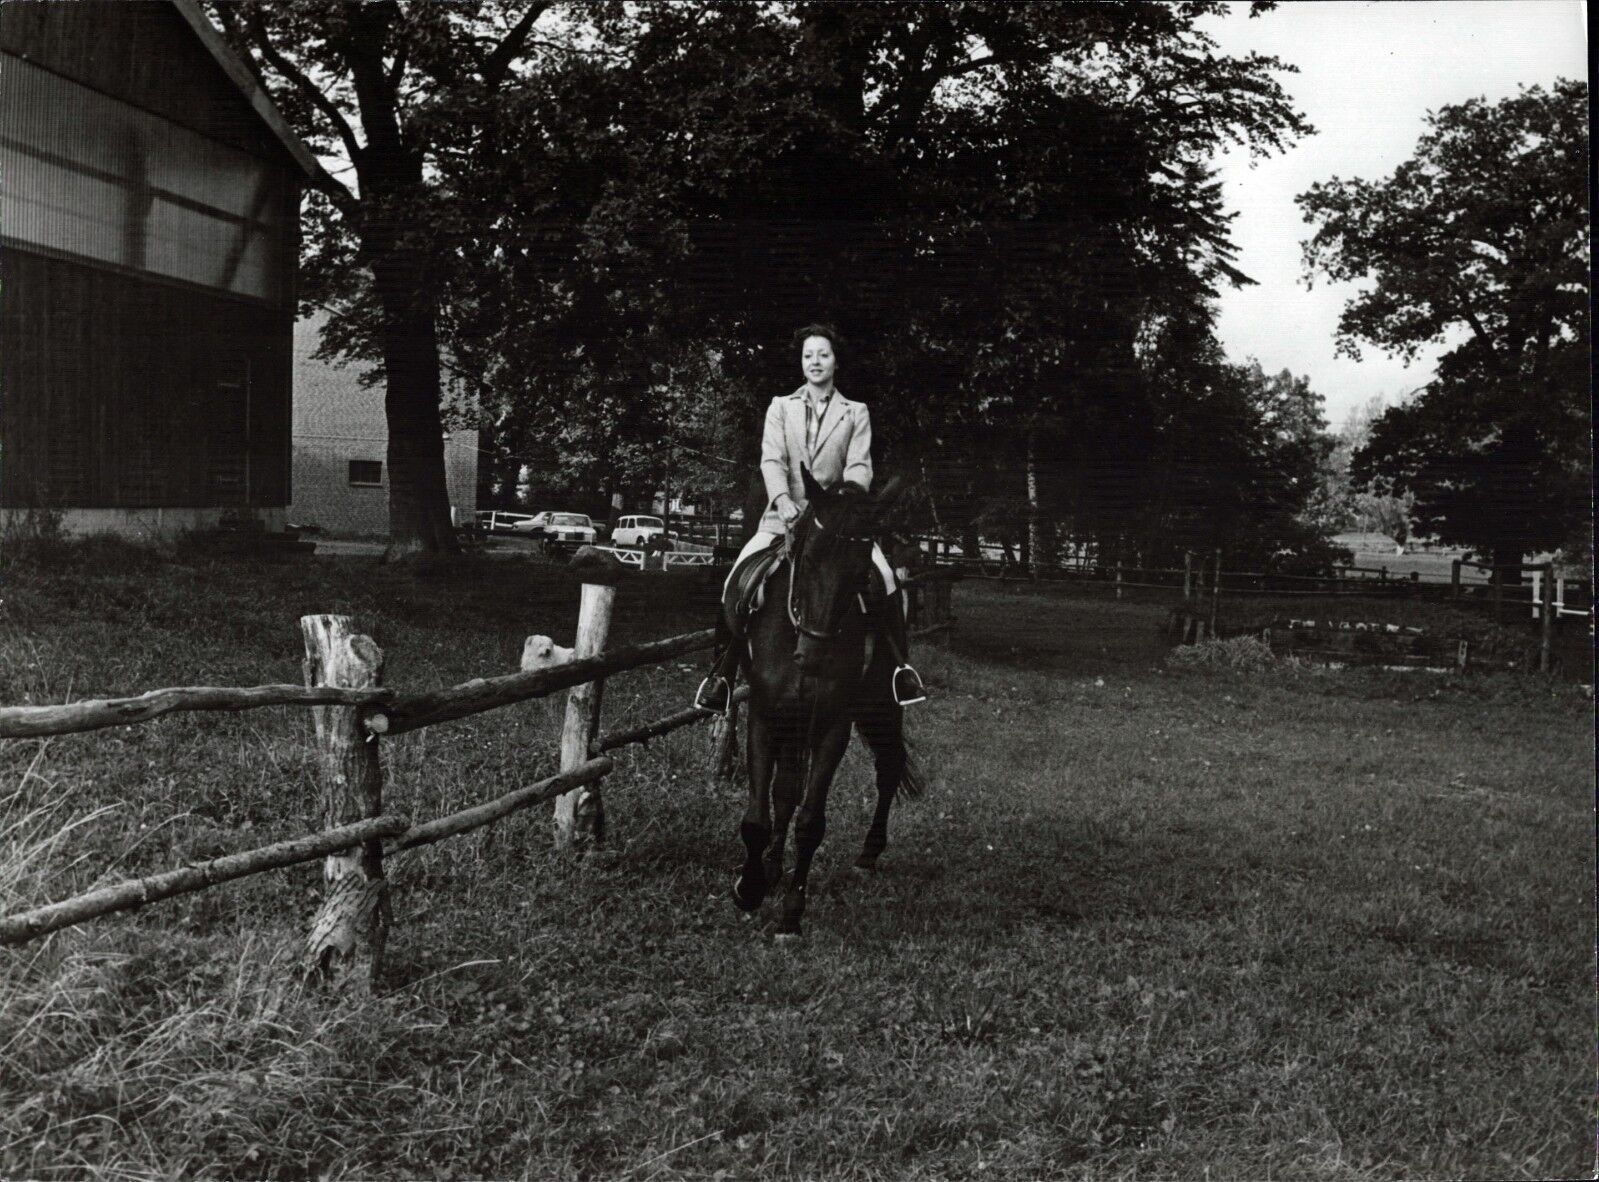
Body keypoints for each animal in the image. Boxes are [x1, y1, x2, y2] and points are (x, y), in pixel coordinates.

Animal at [732, 467, 921, 940]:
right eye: (810, 557)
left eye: (861, 573)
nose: (813, 657)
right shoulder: (765, 715)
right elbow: (762, 813)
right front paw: (750, 887)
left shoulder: (835, 725)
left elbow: (810, 822)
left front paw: (791, 914)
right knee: (784, 790)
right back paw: (771, 867)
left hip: (880, 705)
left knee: (889, 766)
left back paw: (868, 855)